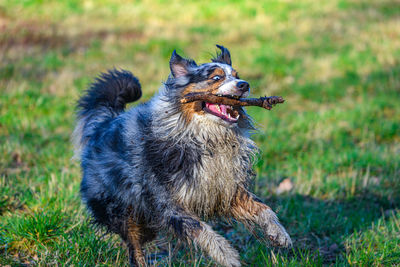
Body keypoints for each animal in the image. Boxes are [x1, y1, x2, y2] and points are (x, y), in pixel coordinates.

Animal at [72, 45, 290, 266]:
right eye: (216, 78)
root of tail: (102, 124)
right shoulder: (166, 201)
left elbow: (261, 206)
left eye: (237, 76)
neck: (205, 136)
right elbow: (200, 228)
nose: (244, 84)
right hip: (121, 208)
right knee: (134, 246)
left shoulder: (225, 187)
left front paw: (279, 233)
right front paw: (227, 255)